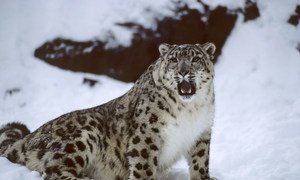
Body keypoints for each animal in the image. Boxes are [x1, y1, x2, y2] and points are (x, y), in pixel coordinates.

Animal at [0, 41, 216, 179]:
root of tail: (29, 137)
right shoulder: (147, 134)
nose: (183, 71)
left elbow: (200, 161)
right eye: (173, 60)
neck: (190, 109)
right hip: (83, 135)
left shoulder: (202, 133)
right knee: (54, 170)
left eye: (195, 59)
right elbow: (144, 167)